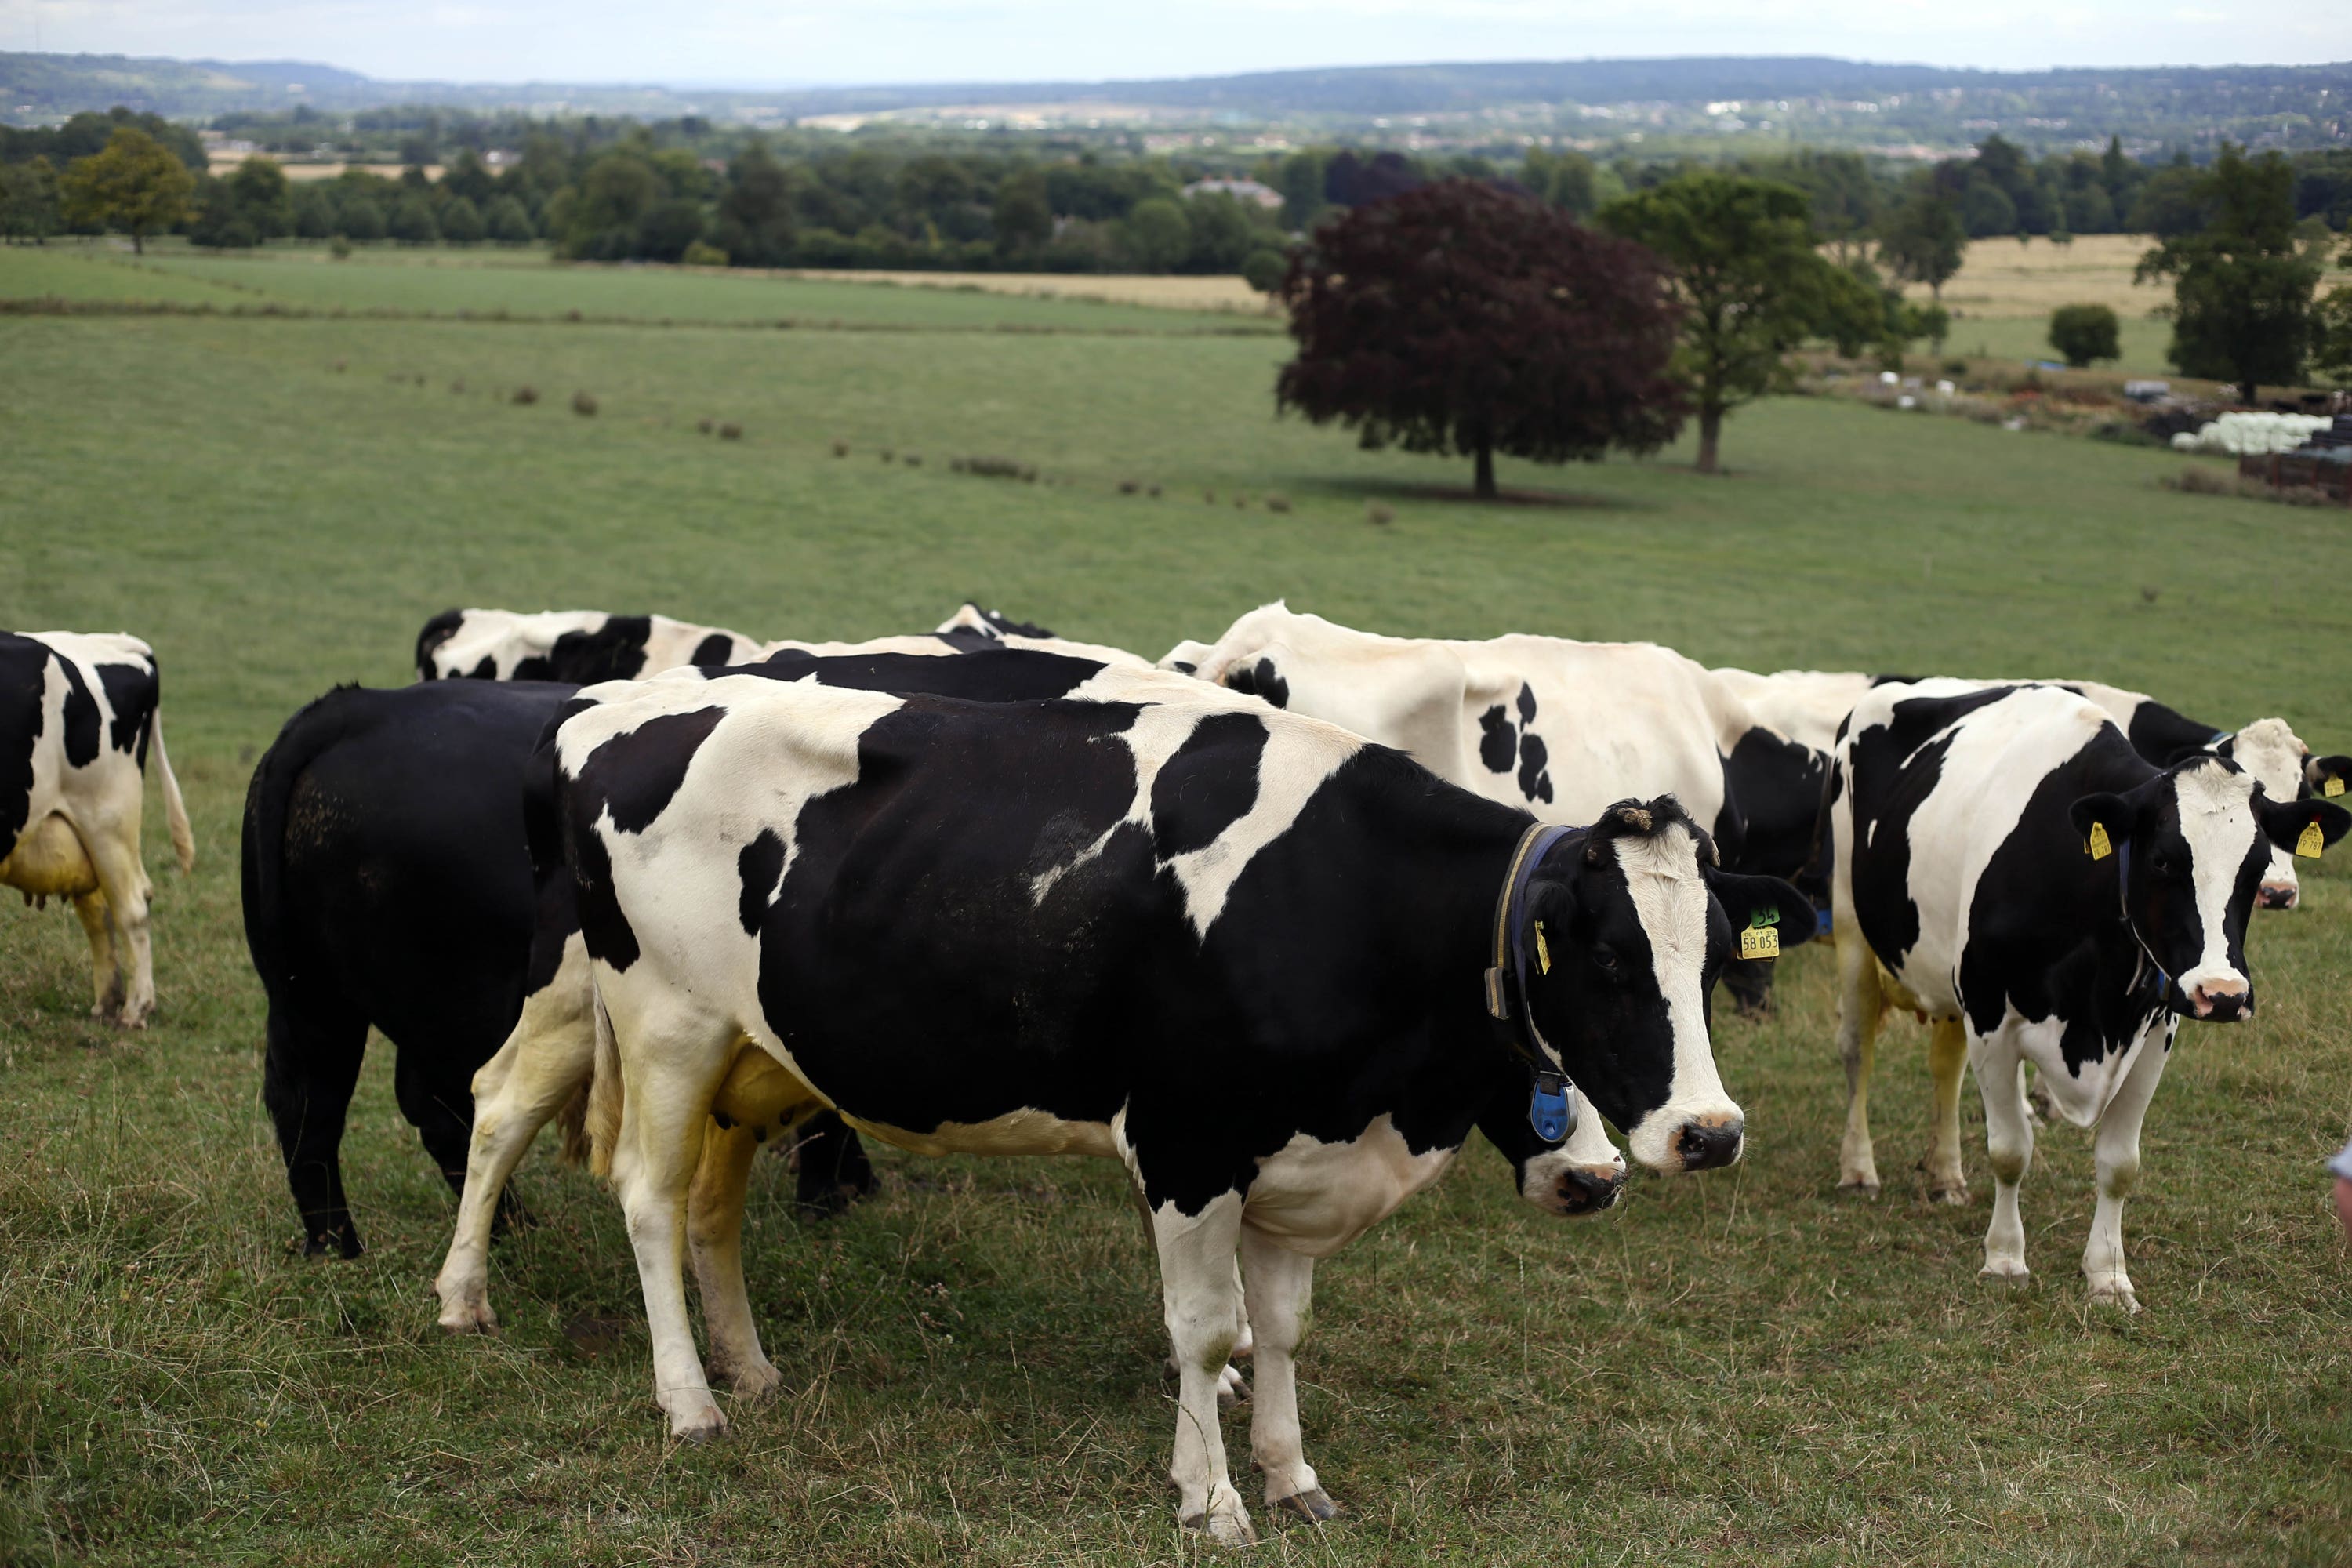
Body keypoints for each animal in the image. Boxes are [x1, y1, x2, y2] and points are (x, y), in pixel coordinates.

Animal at [2, 630, 193, 1025]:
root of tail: (115, 642)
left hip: (107, 821)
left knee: (132, 907)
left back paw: (135, 1010)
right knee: (98, 912)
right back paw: (107, 1003)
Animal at [541, 667, 1806, 1542]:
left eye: (1709, 962)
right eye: (1605, 962)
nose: (1709, 1133)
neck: (1345, 894)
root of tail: (612, 714)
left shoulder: (1298, 1153)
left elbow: (1281, 1328)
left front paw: (1291, 1475)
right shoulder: (1190, 1142)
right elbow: (1206, 1330)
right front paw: (1211, 1500)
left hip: (752, 1052)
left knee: (712, 1208)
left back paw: (749, 1370)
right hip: (666, 1023)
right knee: (649, 1200)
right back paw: (687, 1399)